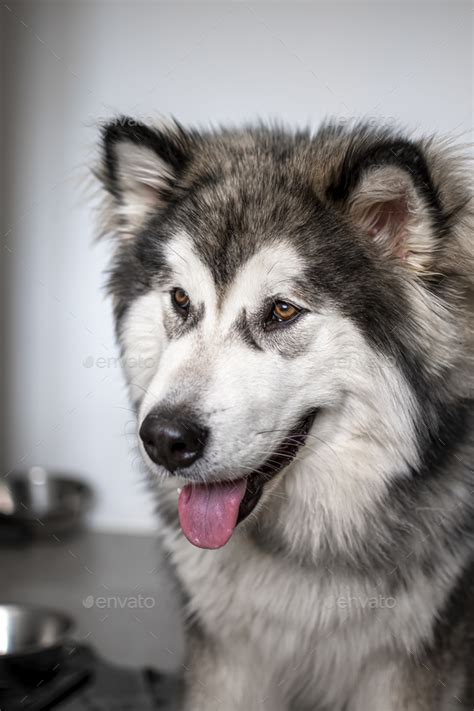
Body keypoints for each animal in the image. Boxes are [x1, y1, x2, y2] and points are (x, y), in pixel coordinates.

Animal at [94, 119, 472, 708]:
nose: (165, 439)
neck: (300, 546)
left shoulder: (406, 670)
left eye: (282, 310)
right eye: (180, 299)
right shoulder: (227, 662)